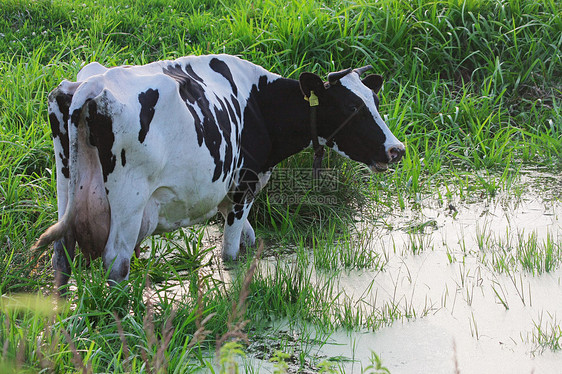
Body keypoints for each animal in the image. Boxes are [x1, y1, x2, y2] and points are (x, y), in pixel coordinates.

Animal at [32, 54, 402, 290]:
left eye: (375, 102)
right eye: (352, 107)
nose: (397, 149)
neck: (259, 106)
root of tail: (93, 85)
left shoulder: (229, 193)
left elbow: (251, 240)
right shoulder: (244, 185)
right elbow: (231, 253)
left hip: (66, 187)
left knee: (61, 257)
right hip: (129, 203)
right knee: (115, 264)